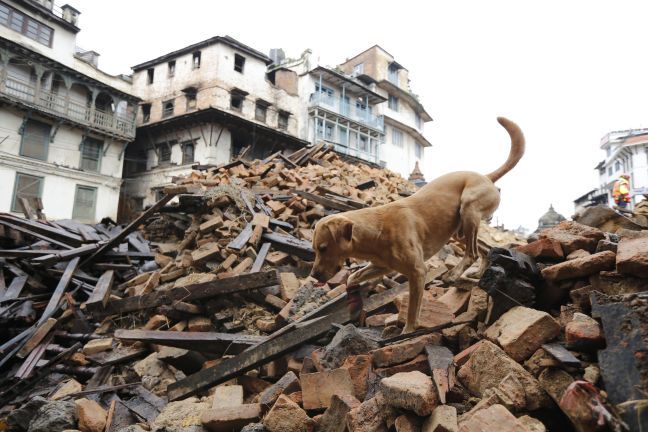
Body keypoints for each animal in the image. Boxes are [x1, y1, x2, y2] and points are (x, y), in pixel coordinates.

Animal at [310, 116, 528, 332]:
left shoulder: (417, 272)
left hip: (469, 208)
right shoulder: (382, 266)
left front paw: (407, 332)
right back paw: (480, 271)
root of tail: (486, 177)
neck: (376, 230)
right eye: (315, 249)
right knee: (484, 248)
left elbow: (413, 310)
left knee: (472, 252)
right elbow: (352, 277)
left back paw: (453, 275)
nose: (313, 275)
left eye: (323, 248)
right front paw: (354, 303)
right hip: (457, 230)